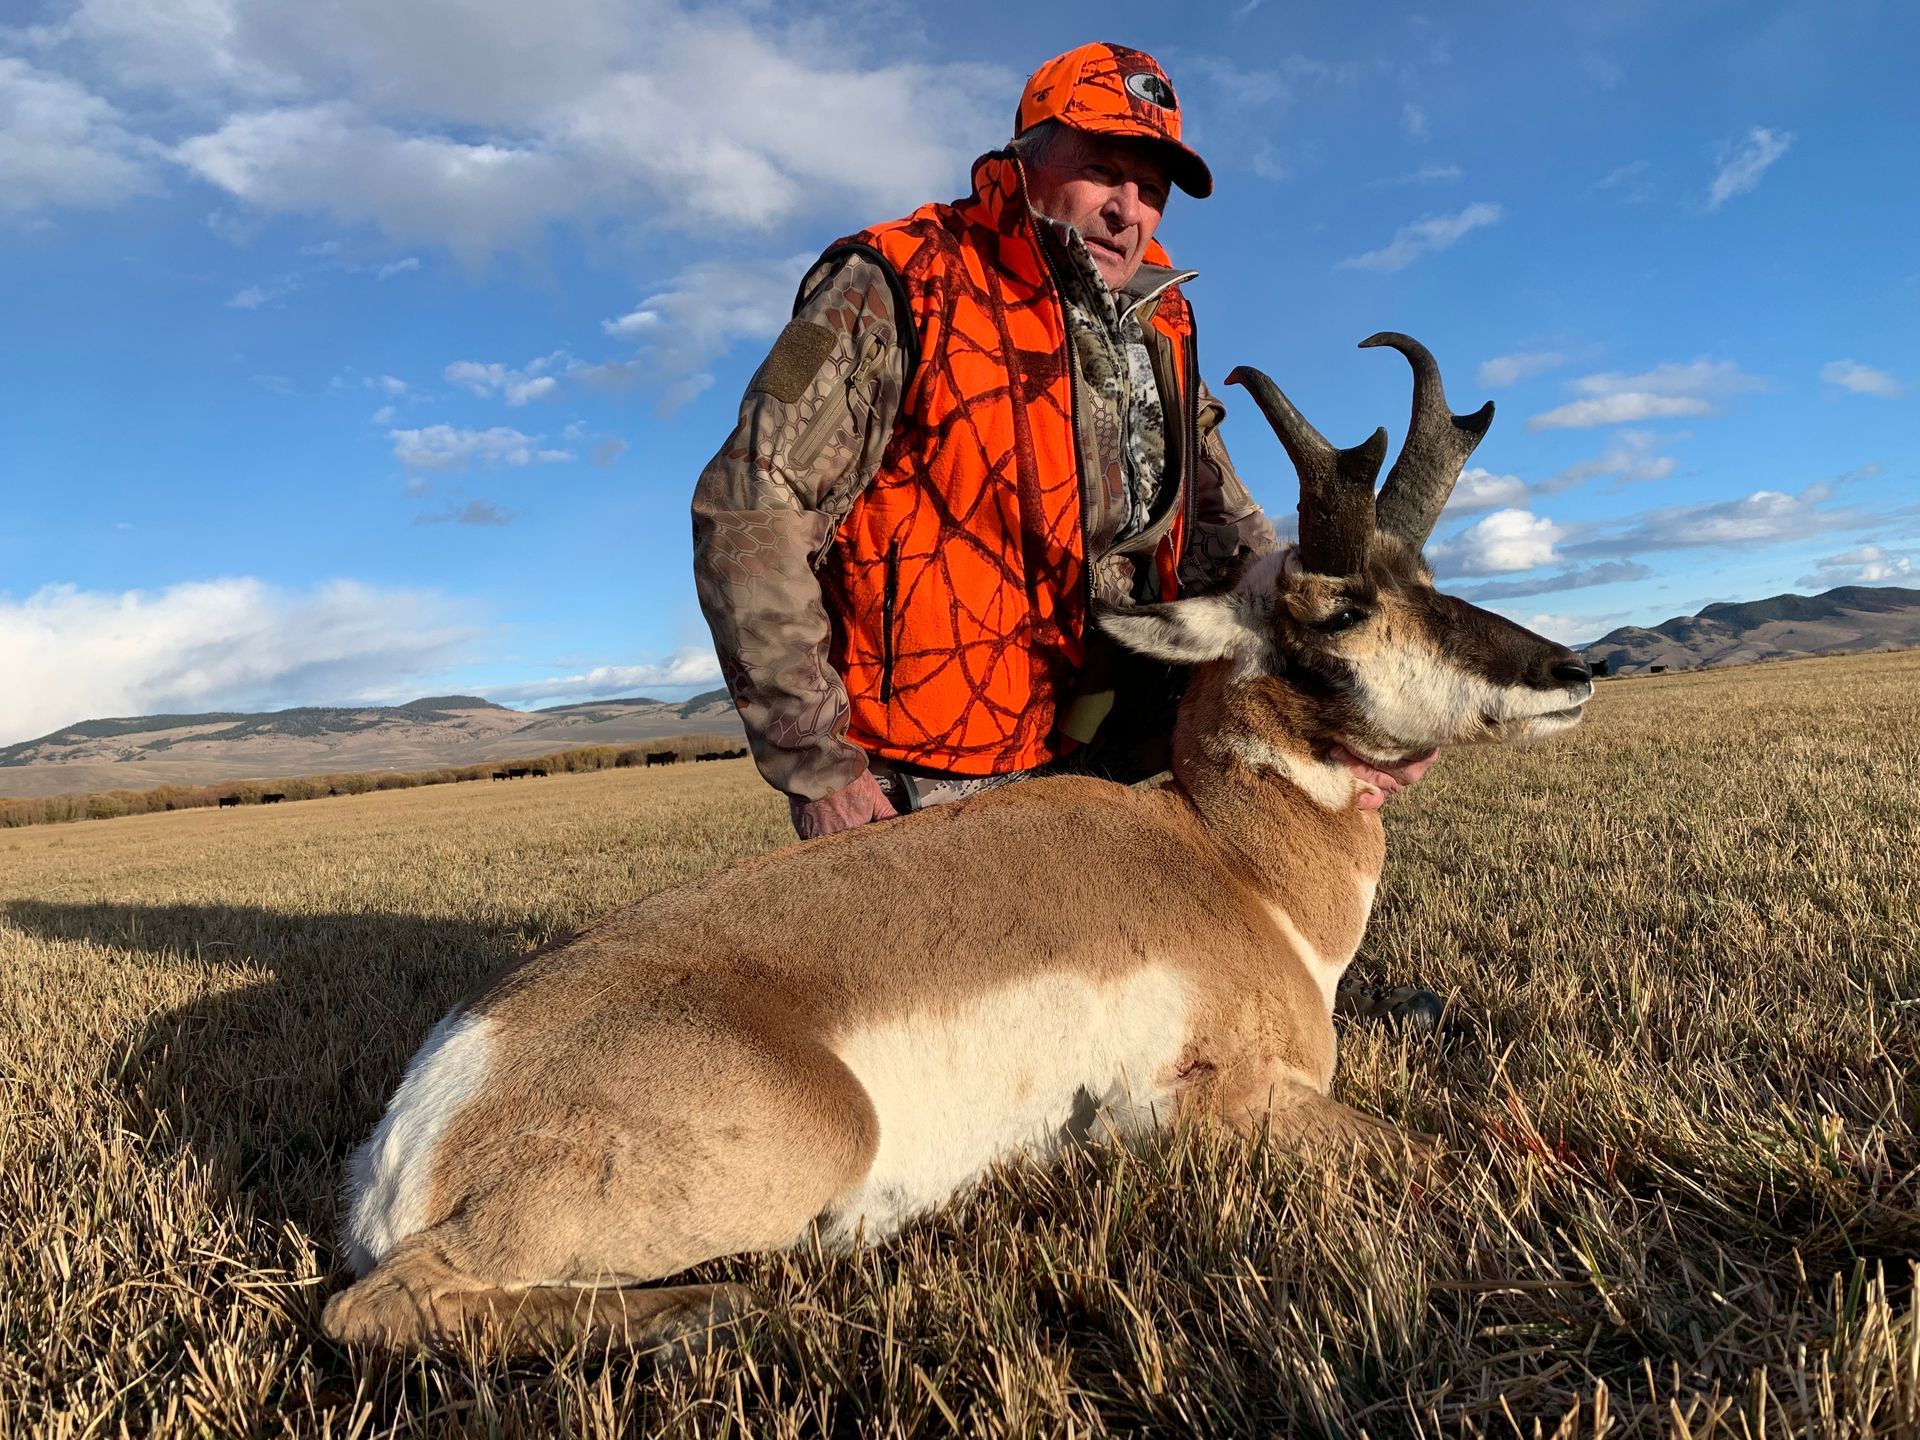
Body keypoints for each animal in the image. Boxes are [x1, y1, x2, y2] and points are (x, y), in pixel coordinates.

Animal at [323, 334, 1593, 1356]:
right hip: (810, 1138)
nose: (1573, 671)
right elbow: (1449, 1152)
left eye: (1425, 578)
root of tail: (435, 1101)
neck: (1231, 866)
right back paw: (709, 1309)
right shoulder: (1224, 1105)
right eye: (1340, 609)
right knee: (376, 1306)